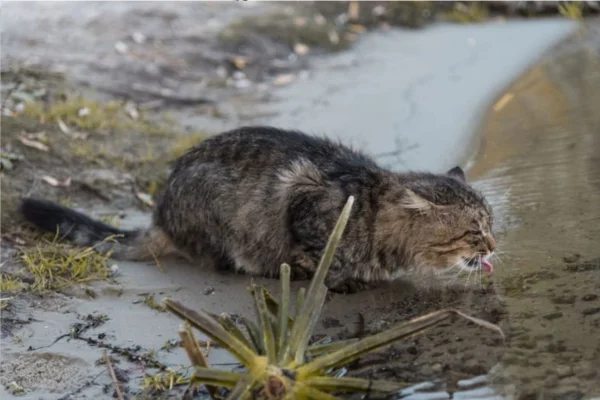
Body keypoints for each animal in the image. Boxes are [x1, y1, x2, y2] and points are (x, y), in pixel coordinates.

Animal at [19, 126, 496, 294]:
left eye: (491, 225)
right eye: (475, 232)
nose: (494, 245)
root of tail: (161, 212)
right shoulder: (301, 196)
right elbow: (315, 257)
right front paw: (338, 278)